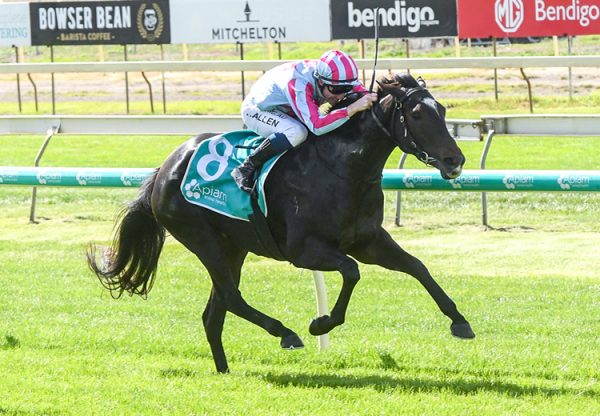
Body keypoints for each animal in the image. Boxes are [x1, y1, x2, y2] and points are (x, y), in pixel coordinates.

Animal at [88, 75, 474, 374]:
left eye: (442, 110)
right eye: (418, 113)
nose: (455, 160)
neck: (342, 169)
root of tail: (165, 168)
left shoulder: (368, 241)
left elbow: (417, 266)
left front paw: (460, 321)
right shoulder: (302, 251)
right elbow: (351, 272)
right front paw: (320, 323)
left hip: (232, 246)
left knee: (214, 312)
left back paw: (224, 370)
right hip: (201, 239)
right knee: (231, 297)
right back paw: (285, 333)